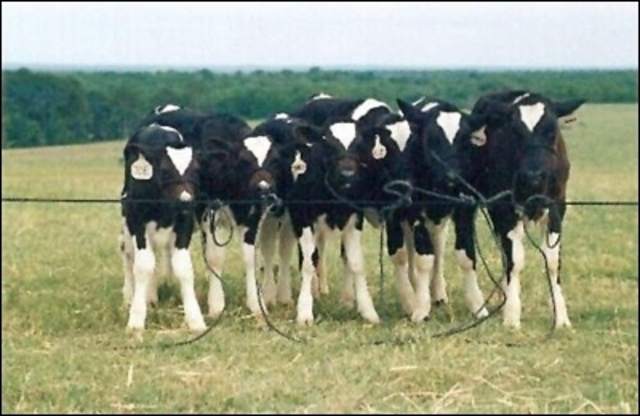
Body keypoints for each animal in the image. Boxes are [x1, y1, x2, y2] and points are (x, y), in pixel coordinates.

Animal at [118, 123, 207, 332]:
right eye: (165, 170)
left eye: (196, 170)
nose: (185, 201)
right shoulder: (137, 221)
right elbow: (143, 266)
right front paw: (136, 319)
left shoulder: (185, 223)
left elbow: (183, 268)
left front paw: (195, 319)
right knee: (128, 254)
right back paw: (130, 297)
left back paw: (150, 296)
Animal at [461, 90, 585, 328]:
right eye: (515, 132)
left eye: (552, 131)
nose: (533, 175)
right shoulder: (505, 209)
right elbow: (515, 261)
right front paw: (511, 315)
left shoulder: (557, 207)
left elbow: (553, 261)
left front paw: (561, 317)